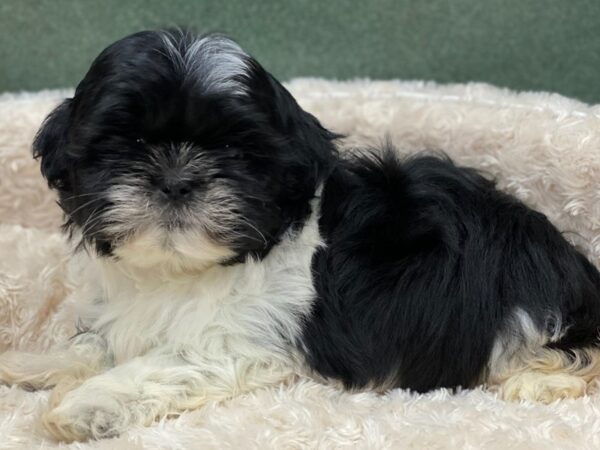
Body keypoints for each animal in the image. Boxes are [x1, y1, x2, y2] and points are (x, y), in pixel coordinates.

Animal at [1, 29, 600, 442]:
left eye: (235, 152)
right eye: (128, 144)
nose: (175, 180)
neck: (183, 269)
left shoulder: (244, 338)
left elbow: (166, 362)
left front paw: (86, 405)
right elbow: (95, 344)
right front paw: (31, 365)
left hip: (516, 311)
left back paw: (538, 380)